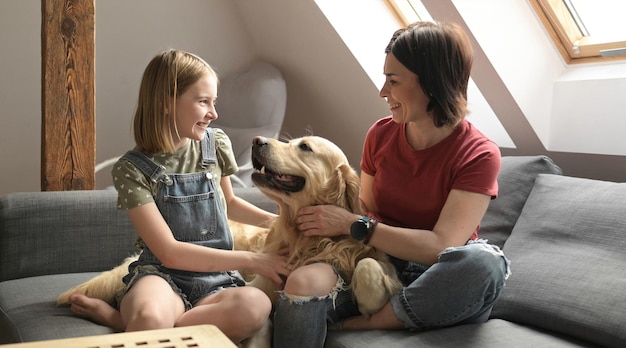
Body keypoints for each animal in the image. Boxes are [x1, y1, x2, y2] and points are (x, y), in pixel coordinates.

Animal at [58, 136, 400, 346]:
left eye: (304, 147)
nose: (258, 140)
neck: (305, 240)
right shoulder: (260, 289)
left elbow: (371, 262)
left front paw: (369, 298)